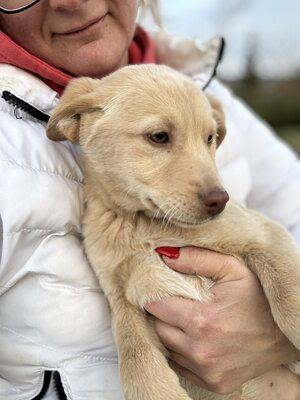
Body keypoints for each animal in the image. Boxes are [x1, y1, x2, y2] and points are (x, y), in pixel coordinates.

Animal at [46, 65, 300, 400]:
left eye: (210, 138)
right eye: (159, 137)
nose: (220, 201)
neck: (143, 225)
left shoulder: (265, 234)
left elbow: (288, 301)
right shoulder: (121, 296)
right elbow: (136, 358)